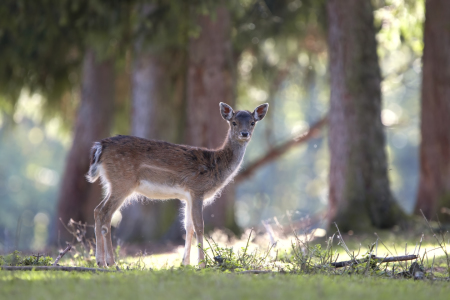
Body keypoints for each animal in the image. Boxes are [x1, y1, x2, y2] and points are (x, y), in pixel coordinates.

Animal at [86, 102, 268, 268]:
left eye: (252, 122)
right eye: (234, 122)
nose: (244, 133)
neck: (216, 165)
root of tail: (100, 146)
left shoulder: (187, 197)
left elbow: (188, 227)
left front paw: (185, 263)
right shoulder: (197, 190)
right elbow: (200, 226)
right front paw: (201, 264)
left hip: (112, 183)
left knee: (97, 210)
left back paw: (100, 261)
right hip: (123, 181)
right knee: (105, 214)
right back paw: (110, 263)